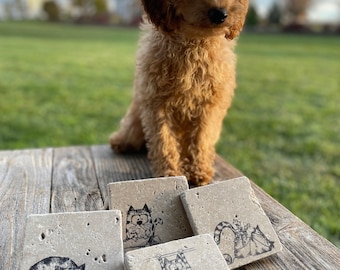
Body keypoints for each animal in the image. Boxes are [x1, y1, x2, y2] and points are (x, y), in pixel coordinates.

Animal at [110, 0, 248, 186]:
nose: (220, 14)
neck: (194, 42)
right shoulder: (156, 104)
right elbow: (164, 140)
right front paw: (170, 175)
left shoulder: (210, 106)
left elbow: (201, 138)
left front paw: (198, 171)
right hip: (136, 117)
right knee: (131, 130)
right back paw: (121, 141)